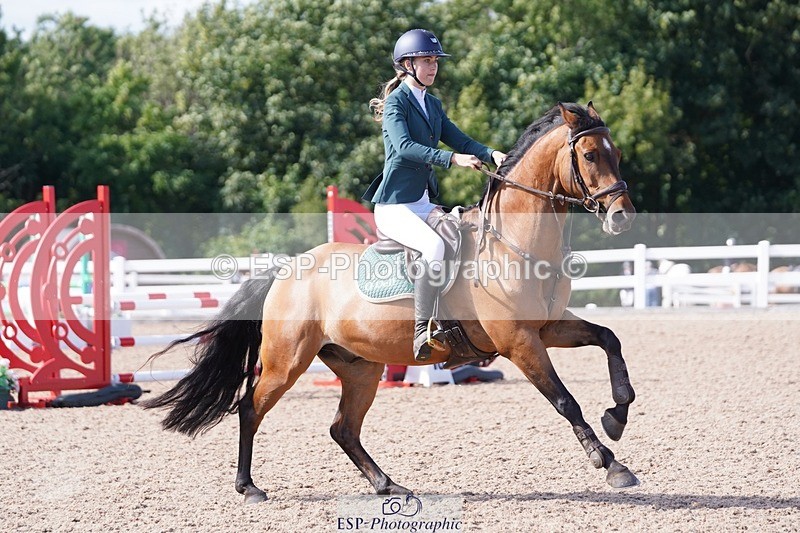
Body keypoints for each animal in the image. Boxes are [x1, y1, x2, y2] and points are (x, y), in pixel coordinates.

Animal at [142, 102, 640, 503]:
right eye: (590, 155)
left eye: (616, 153)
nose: (623, 218)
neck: (515, 242)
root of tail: (286, 269)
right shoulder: (519, 342)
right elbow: (565, 401)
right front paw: (612, 464)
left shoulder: (547, 328)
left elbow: (610, 338)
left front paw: (617, 413)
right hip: (288, 362)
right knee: (250, 408)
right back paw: (249, 487)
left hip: (361, 367)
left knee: (342, 427)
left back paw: (389, 485)